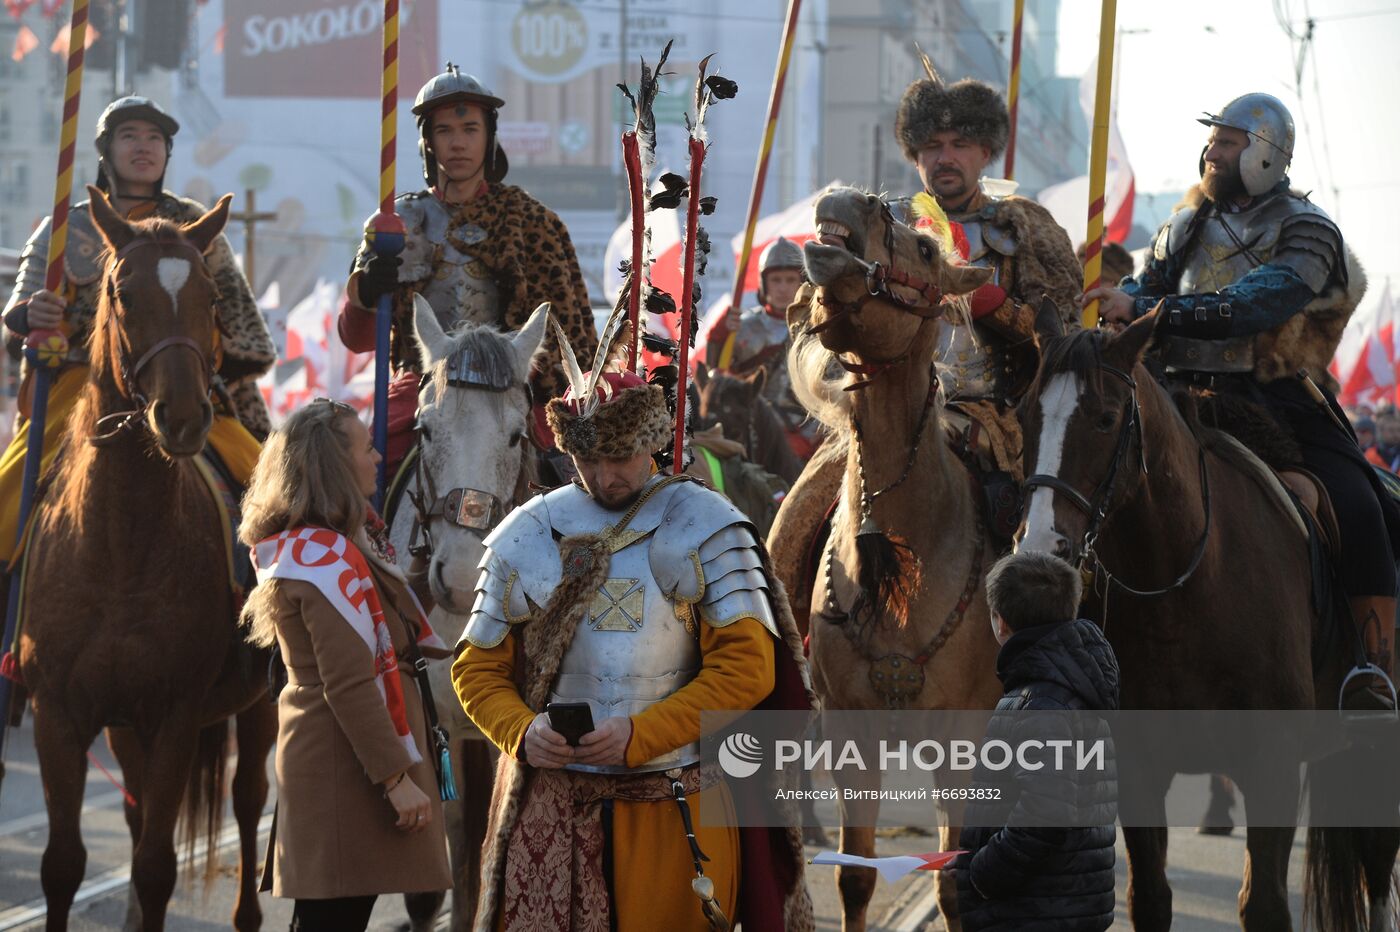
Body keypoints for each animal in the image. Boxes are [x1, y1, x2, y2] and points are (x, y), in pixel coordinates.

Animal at [789, 184, 1008, 923]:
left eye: (926, 251)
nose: (847, 199)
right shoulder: (849, 732)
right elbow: (856, 878)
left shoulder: (965, 737)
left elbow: (954, 881)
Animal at [1019, 313, 1400, 929]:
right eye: (1026, 413)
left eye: (1104, 418)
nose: (1039, 551)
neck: (1184, 589)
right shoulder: (1140, 768)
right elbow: (1149, 897)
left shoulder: (1271, 766)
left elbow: (1264, 904)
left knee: (1377, 859)